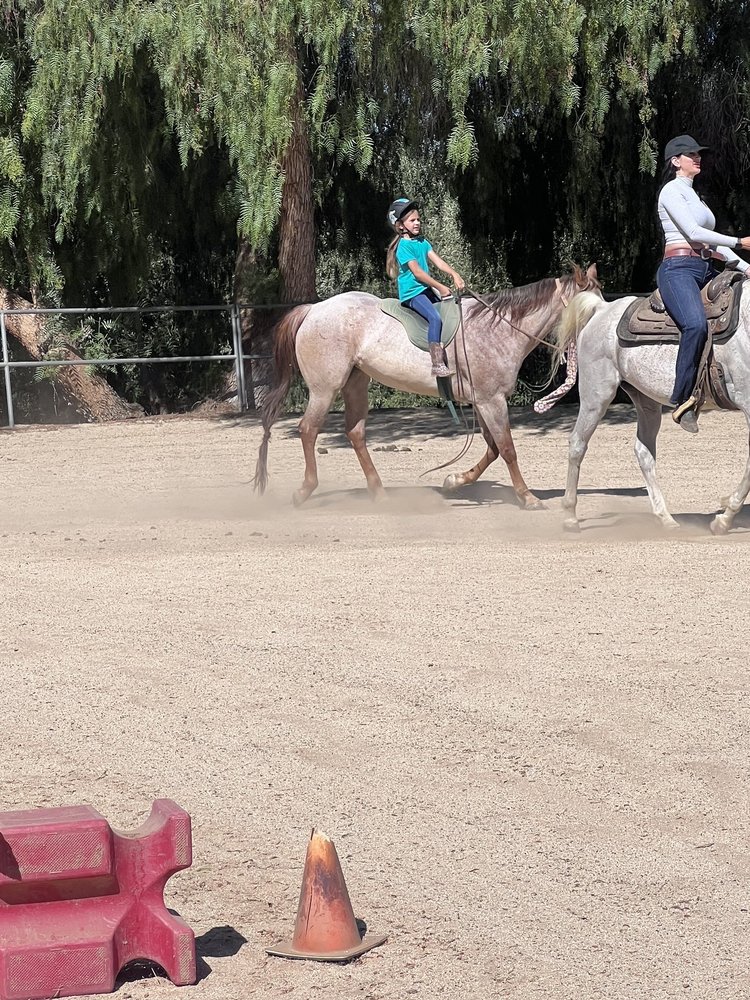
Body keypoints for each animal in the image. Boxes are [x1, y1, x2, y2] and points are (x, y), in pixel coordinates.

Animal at [253, 264, 601, 507]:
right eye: (587, 307)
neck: (498, 329)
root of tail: (313, 309)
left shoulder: (482, 401)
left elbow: (491, 448)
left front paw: (454, 480)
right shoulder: (492, 401)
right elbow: (507, 449)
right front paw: (527, 497)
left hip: (356, 383)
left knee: (355, 433)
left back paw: (379, 492)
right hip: (325, 389)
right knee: (309, 430)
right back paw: (304, 491)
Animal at [551, 280, 750, 534]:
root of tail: (602, 309)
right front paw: (724, 520)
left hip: (646, 402)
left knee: (643, 452)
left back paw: (665, 518)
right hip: (596, 395)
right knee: (577, 444)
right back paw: (570, 517)